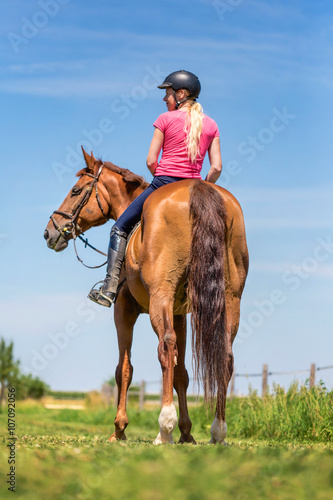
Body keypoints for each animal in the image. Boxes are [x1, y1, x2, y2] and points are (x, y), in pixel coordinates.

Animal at [43, 149, 246, 446]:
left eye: (76, 190)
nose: (50, 231)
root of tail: (198, 190)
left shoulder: (124, 312)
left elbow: (124, 370)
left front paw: (119, 428)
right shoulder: (179, 314)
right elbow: (181, 374)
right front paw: (187, 432)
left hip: (161, 295)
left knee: (165, 347)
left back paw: (164, 428)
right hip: (231, 298)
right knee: (225, 356)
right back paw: (217, 431)